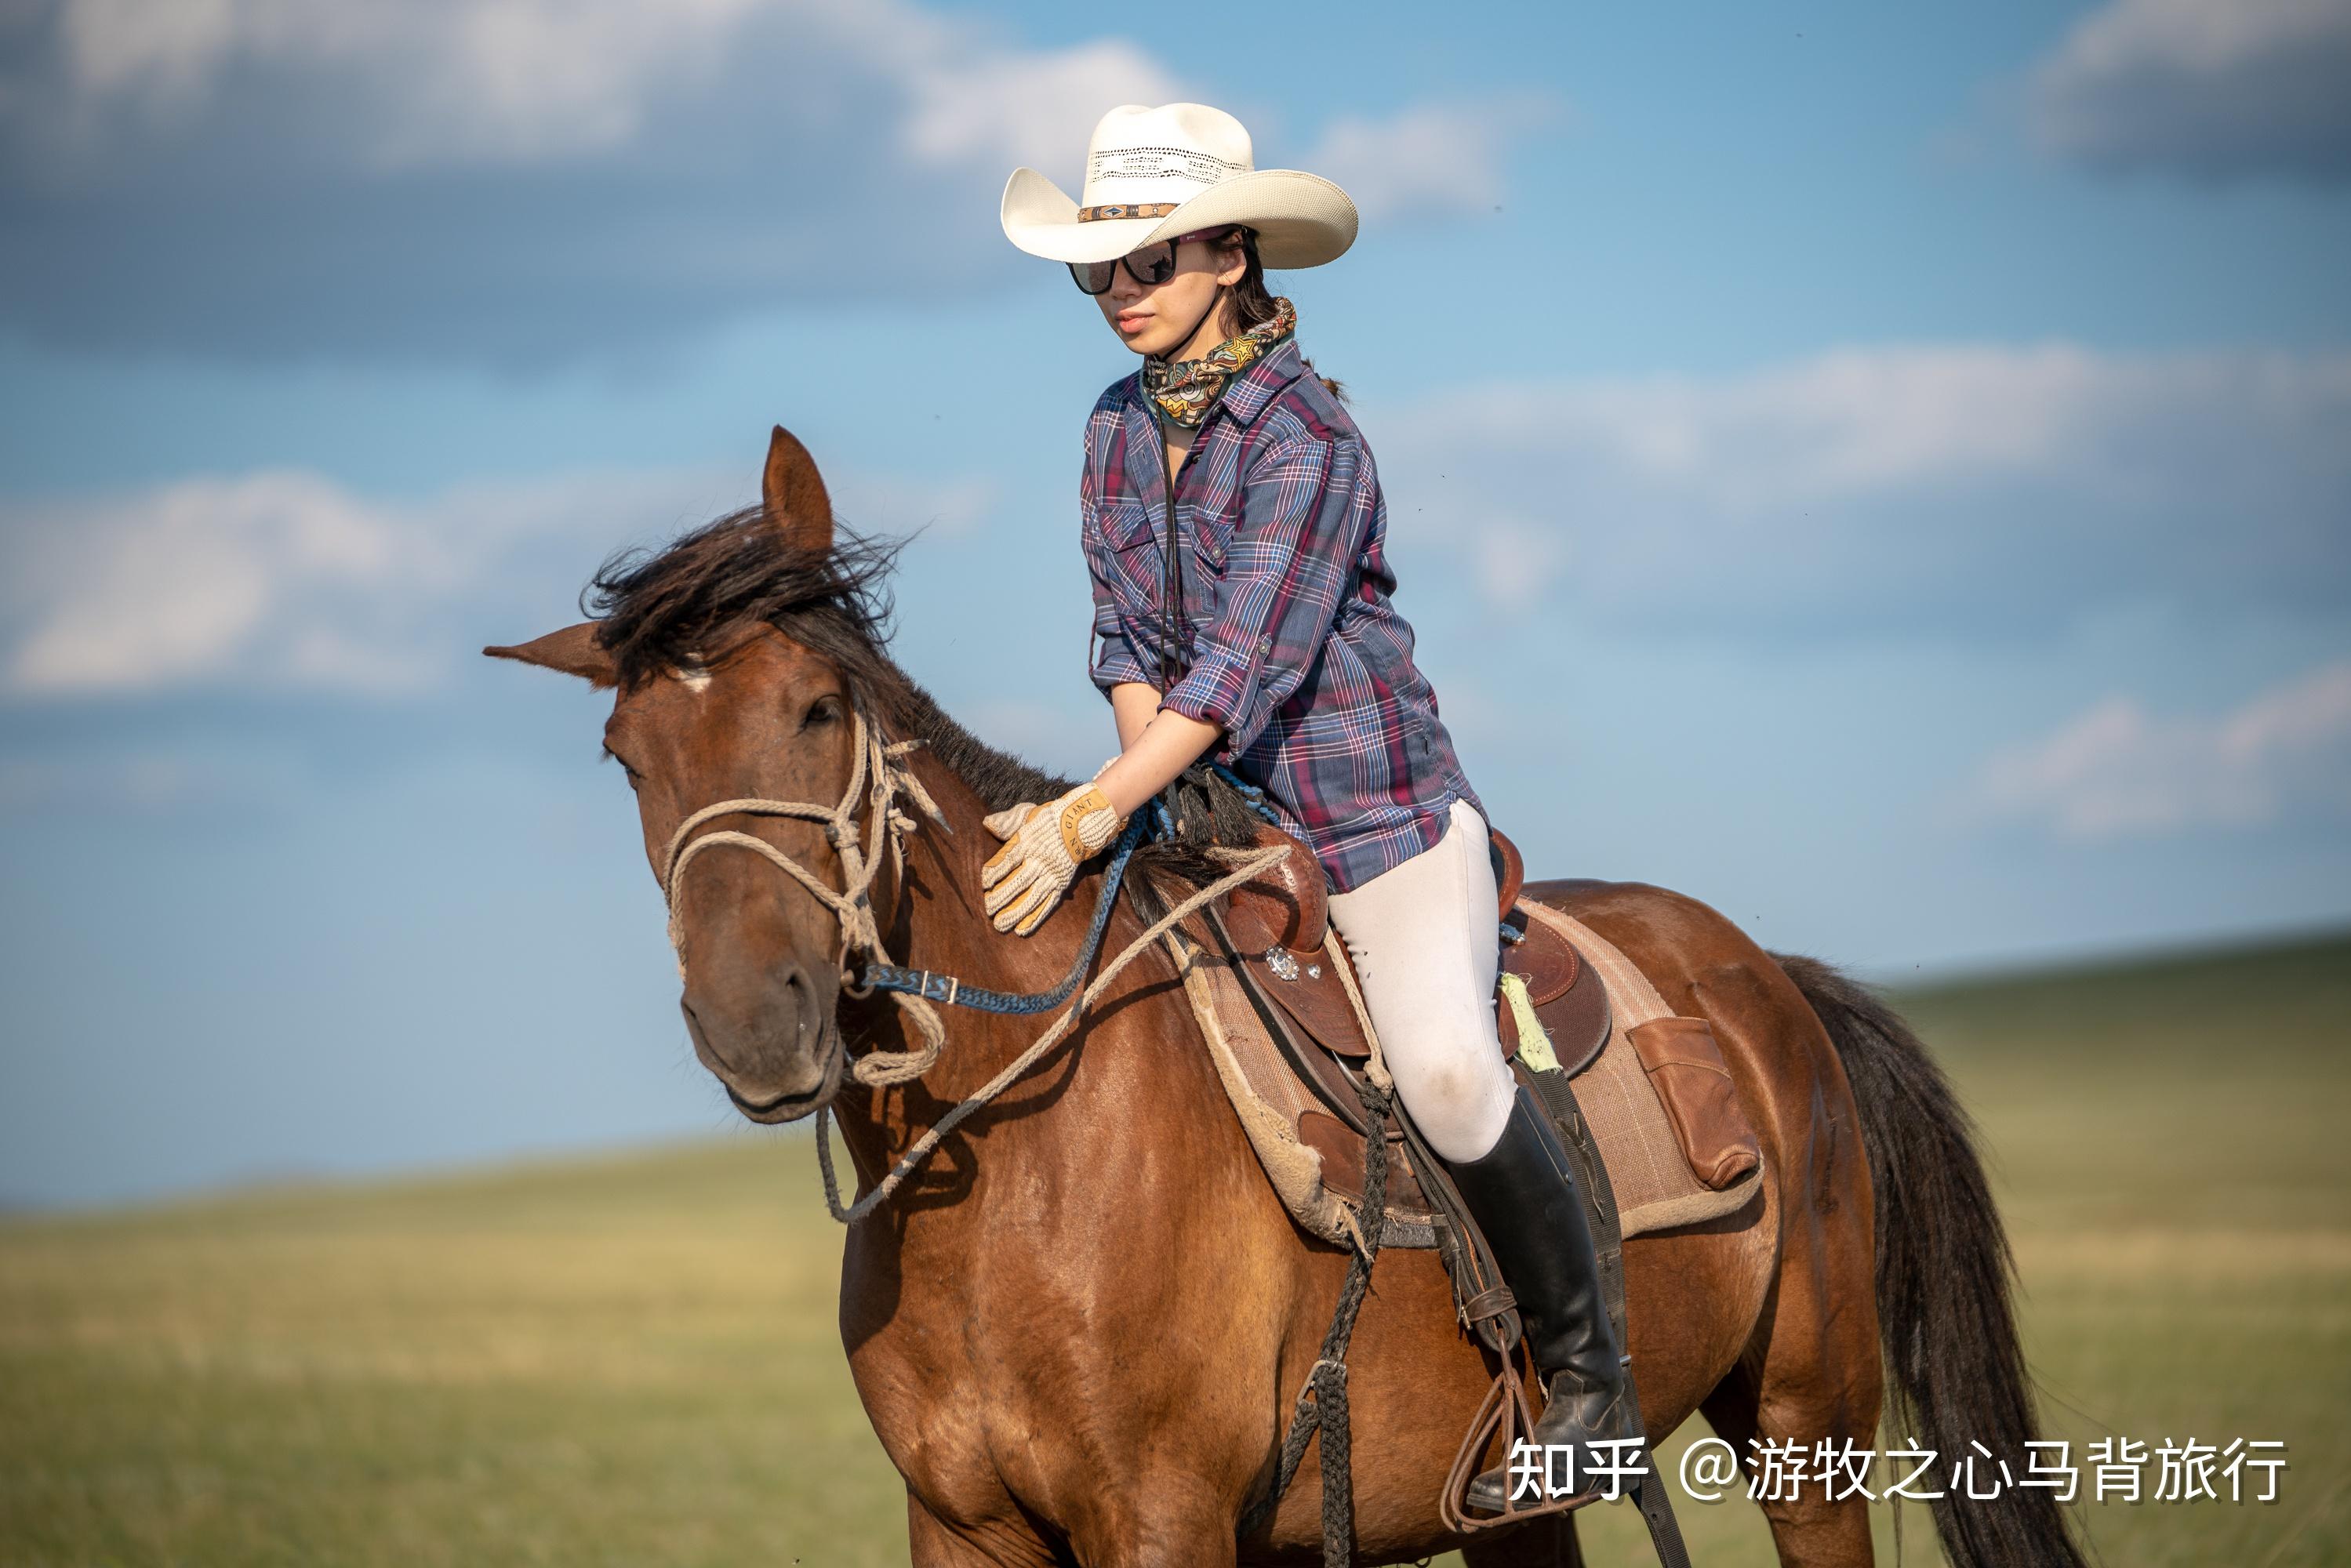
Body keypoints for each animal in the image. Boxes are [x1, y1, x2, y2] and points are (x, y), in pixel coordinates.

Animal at [486, 430, 2088, 1568]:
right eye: (629, 758)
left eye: (819, 709)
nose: (756, 1024)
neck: (1018, 1178)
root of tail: (1769, 980)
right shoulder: (962, 1532)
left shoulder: (1163, 1526)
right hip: (1508, 1509)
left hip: (1805, 1432)